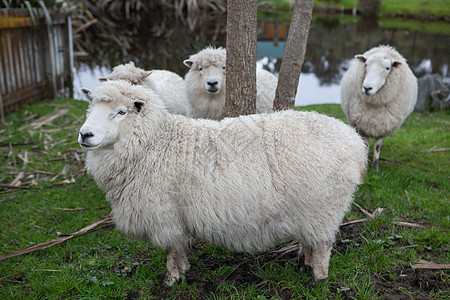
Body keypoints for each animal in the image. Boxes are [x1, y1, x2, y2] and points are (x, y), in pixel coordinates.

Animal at [77, 81, 366, 288]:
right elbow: (179, 249)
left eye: (121, 112)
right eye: (91, 109)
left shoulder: (165, 215)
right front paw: (184, 270)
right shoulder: (176, 218)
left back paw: (318, 277)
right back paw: (306, 263)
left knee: (323, 245)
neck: (155, 143)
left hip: (324, 208)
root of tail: (354, 141)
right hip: (309, 210)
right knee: (312, 241)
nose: (85, 134)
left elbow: (171, 251)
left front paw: (171, 281)